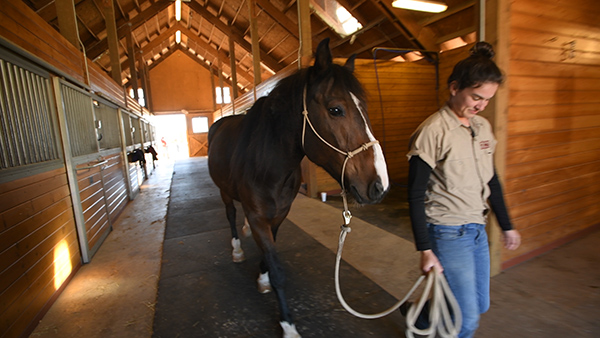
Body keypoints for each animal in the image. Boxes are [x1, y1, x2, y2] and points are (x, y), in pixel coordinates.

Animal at [207, 38, 390, 336]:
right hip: (224, 191)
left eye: (364, 107)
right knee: (231, 215)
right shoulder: (258, 217)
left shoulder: (279, 214)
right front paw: (288, 324)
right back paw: (236, 248)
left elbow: (270, 255)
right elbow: (278, 270)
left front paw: (263, 277)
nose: (379, 186)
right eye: (335, 109)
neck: (267, 163)